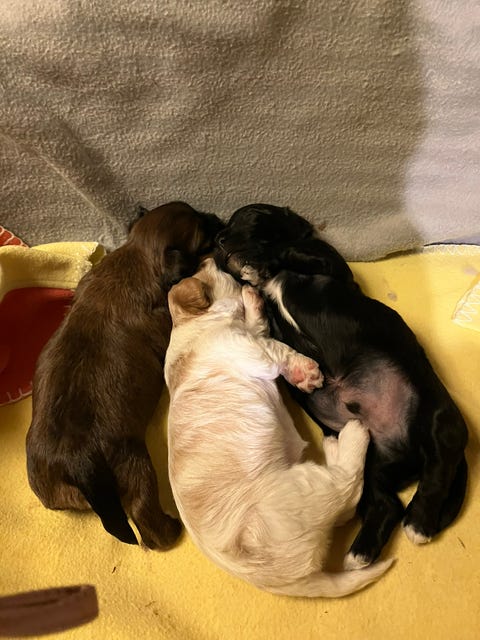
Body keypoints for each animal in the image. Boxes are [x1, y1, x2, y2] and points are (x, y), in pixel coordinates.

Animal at [26, 201, 223, 549]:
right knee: (147, 520)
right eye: (202, 233)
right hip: (135, 465)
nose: (217, 218)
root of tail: (79, 464)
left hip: (45, 485)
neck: (136, 255)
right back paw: (171, 528)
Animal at [164, 257, 392, 597]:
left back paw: (334, 445)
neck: (191, 326)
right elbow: (273, 345)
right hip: (303, 488)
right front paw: (307, 372)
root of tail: (294, 581)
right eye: (211, 271)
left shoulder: (246, 336)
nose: (210, 257)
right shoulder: (249, 349)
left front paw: (252, 298)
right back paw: (351, 435)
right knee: (348, 487)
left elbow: (258, 326)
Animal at [215, 203, 468, 568]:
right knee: (387, 503)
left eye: (250, 217)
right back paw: (359, 553)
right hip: (372, 465)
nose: (218, 240)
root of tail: (406, 457)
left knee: (438, 470)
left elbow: (293, 252)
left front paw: (258, 263)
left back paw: (419, 523)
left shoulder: (332, 265)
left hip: (437, 417)